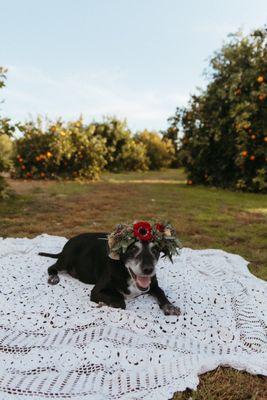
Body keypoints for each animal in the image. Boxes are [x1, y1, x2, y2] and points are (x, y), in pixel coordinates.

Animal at [39, 222, 182, 316]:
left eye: (156, 250)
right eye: (132, 248)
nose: (148, 269)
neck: (126, 273)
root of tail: (67, 243)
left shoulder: (153, 285)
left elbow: (161, 292)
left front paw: (170, 306)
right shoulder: (96, 291)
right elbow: (120, 300)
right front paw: (105, 303)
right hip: (67, 259)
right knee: (52, 267)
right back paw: (53, 277)